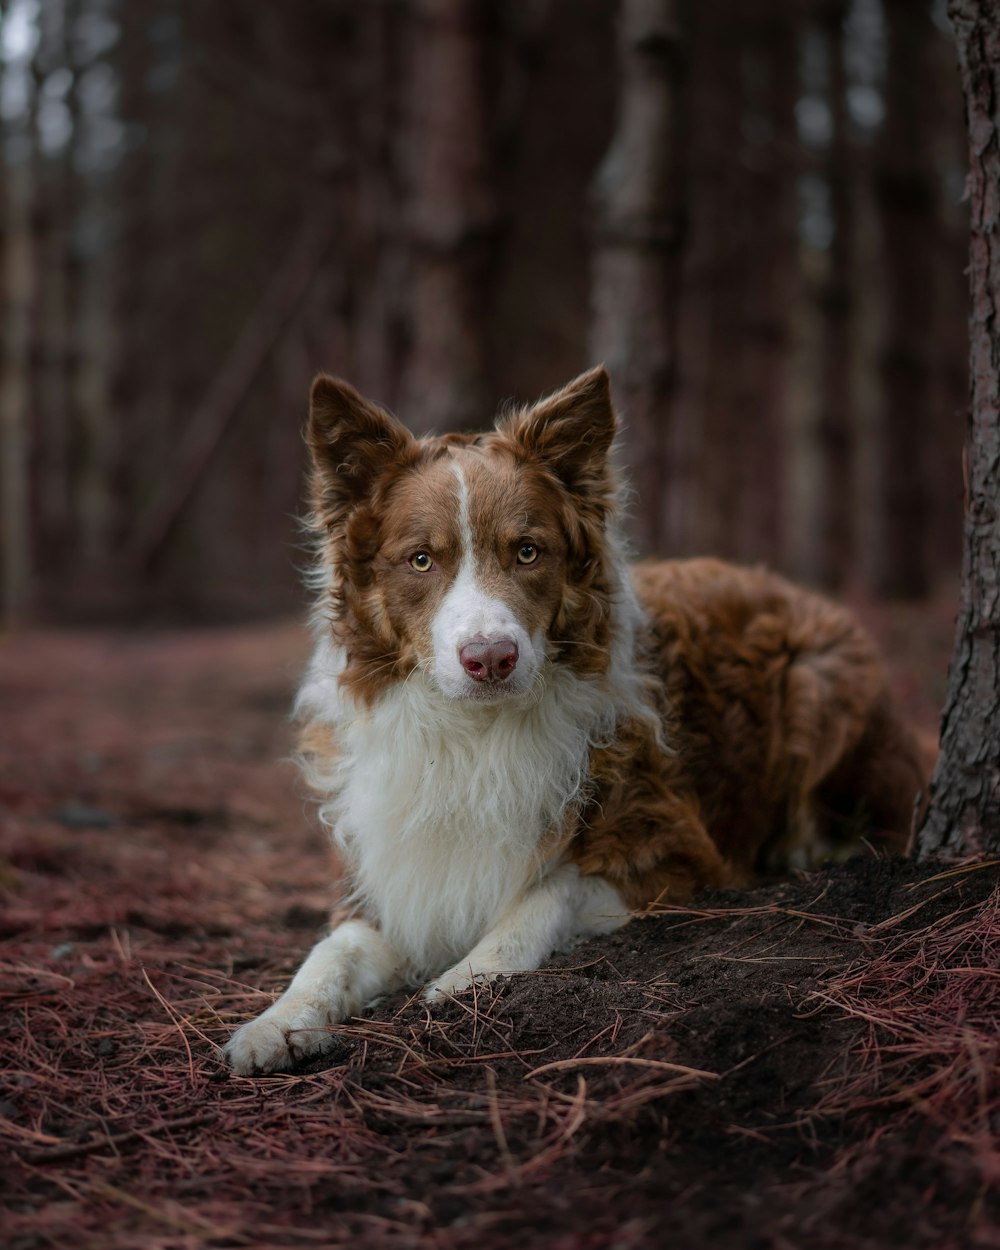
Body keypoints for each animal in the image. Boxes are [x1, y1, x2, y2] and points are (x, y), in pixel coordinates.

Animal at [226, 365, 930, 1075]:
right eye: (421, 559)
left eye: (527, 552)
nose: (491, 658)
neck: (473, 734)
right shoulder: (389, 877)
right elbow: (329, 953)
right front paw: (273, 1023)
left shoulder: (675, 852)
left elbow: (544, 896)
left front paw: (465, 980)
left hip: (819, 679)